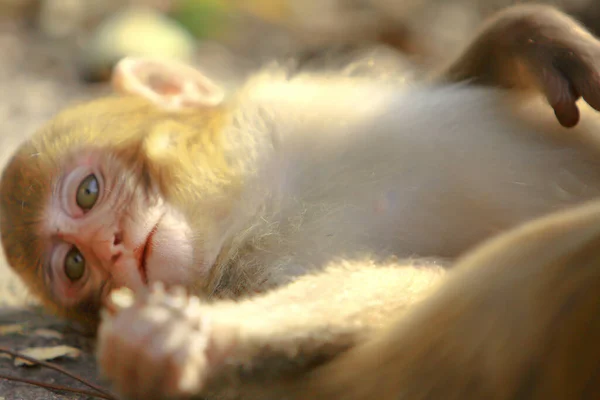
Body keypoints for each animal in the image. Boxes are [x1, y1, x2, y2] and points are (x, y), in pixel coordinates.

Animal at [3, 3, 600, 400]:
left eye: (87, 192)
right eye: (77, 265)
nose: (114, 249)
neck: (261, 201)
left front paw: (532, 38)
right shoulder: (256, 273)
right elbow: (426, 279)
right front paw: (190, 335)